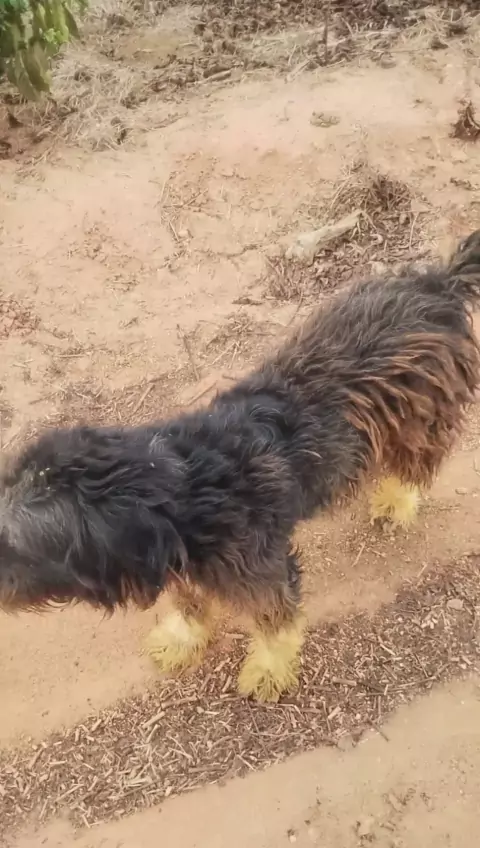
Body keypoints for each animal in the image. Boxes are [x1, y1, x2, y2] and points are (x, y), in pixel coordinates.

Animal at [1, 231, 480, 702]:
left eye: (13, 544)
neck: (179, 487)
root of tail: (438, 283)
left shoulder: (259, 569)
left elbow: (275, 620)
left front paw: (268, 669)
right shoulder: (182, 565)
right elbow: (191, 605)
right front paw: (182, 639)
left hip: (420, 421)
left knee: (415, 466)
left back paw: (396, 502)